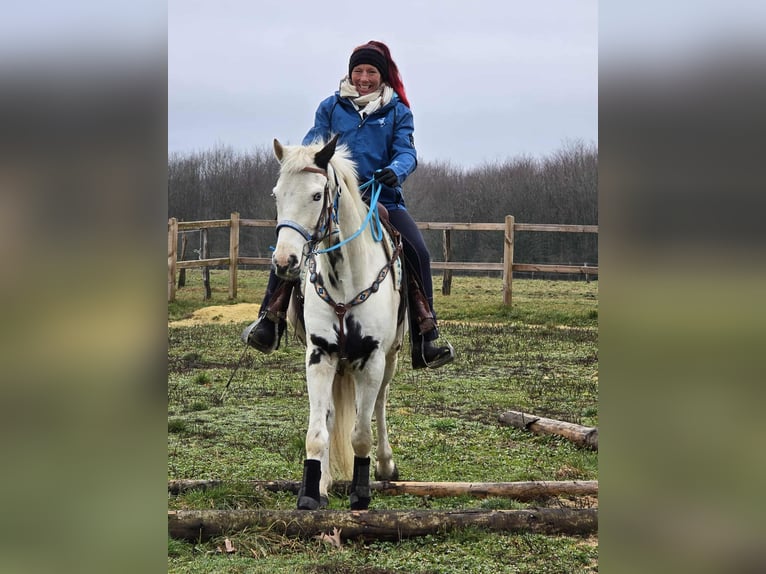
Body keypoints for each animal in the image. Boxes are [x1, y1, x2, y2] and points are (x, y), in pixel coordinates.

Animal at [270, 135, 405, 510]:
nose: (284, 261)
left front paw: (361, 493)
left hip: (391, 358)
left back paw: (385, 466)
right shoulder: (320, 355)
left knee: (380, 405)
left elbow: (361, 433)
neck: (345, 279)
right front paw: (312, 491)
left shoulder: (371, 360)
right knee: (331, 415)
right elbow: (318, 431)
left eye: (317, 195)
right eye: (277, 194)